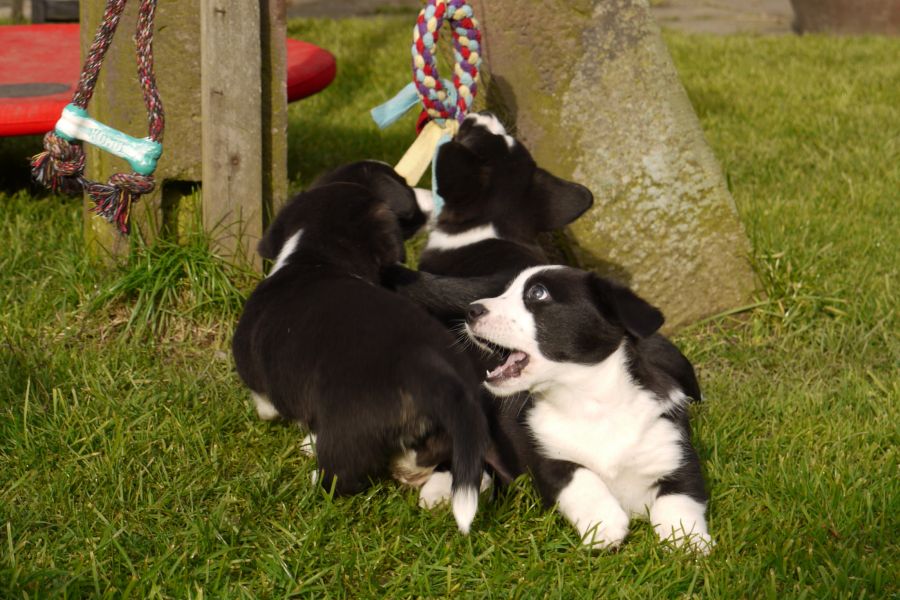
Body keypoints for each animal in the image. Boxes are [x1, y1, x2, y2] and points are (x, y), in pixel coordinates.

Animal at [231, 162, 490, 533]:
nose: (433, 198)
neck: (316, 256)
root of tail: (425, 365)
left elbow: (265, 404)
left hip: (348, 430)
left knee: (341, 478)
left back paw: (315, 481)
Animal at [465, 265, 712, 552]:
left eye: (538, 293)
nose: (470, 310)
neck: (589, 404)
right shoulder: (548, 461)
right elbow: (581, 478)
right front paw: (604, 526)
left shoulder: (677, 456)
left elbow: (680, 500)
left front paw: (688, 541)